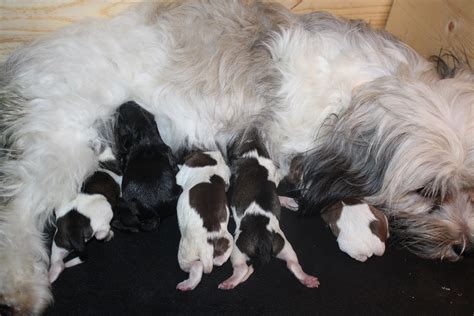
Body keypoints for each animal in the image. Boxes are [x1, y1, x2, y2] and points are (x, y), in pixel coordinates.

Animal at [48, 149, 120, 284]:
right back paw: (107, 234)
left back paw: (51, 275)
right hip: (105, 212)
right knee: (101, 233)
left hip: (60, 241)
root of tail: (74, 231)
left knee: (58, 262)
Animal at [113, 101, 181, 232]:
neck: (146, 134)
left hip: (122, 203)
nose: (126, 102)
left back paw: (116, 224)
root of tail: (154, 212)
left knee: (135, 227)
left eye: (120, 118)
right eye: (139, 106)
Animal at [175, 151, 232, 292]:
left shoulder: (182, 173)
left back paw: (187, 285)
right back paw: (219, 260)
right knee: (223, 255)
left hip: (185, 253)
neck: (214, 160)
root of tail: (207, 245)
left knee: (197, 267)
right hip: (227, 237)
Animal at [218, 135, 318, 290]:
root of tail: (263, 239)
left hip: (239, 247)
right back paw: (308, 279)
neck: (254, 153)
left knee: (242, 269)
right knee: (293, 264)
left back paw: (229, 282)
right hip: (283, 245)